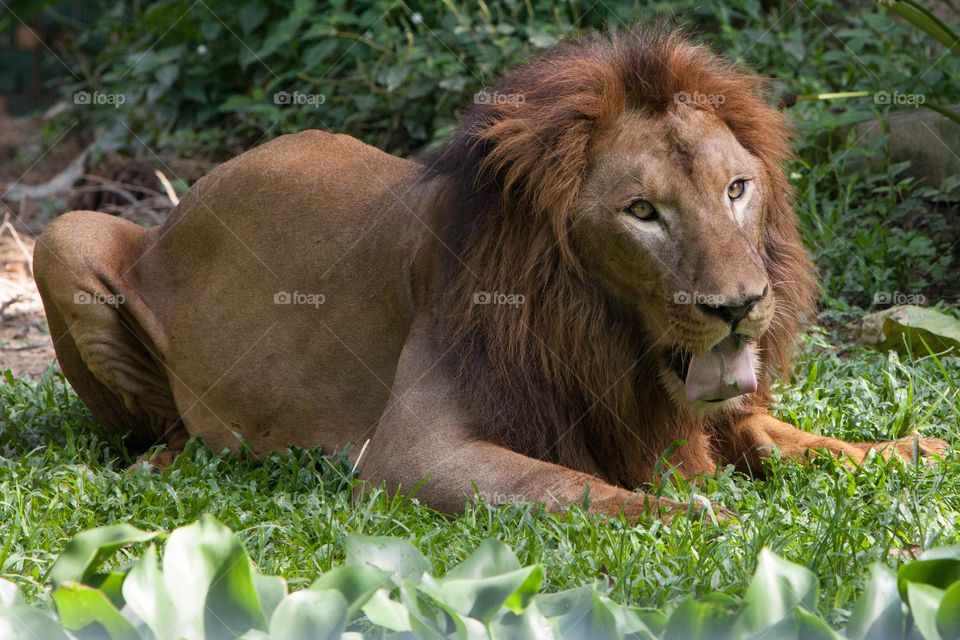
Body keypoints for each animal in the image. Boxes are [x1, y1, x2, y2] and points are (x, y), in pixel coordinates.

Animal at [33, 29, 946, 518]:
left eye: (736, 189)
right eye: (642, 212)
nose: (742, 306)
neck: (608, 341)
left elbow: (770, 432)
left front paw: (902, 448)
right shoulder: (410, 454)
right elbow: (577, 487)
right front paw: (693, 516)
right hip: (62, 233)